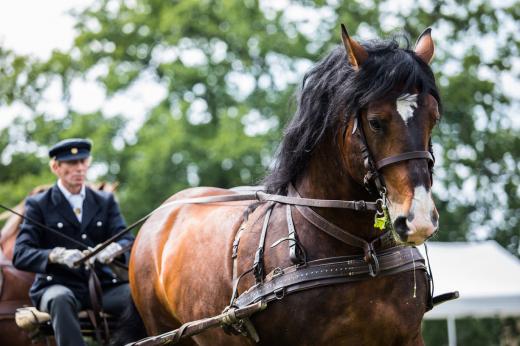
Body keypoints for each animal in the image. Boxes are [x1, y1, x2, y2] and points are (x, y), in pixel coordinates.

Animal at [125, 25, 438, 346]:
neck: (362, 254)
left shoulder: (408, 337)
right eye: (376, 122)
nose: (418, 219)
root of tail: (163, 213)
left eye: (433, 119)